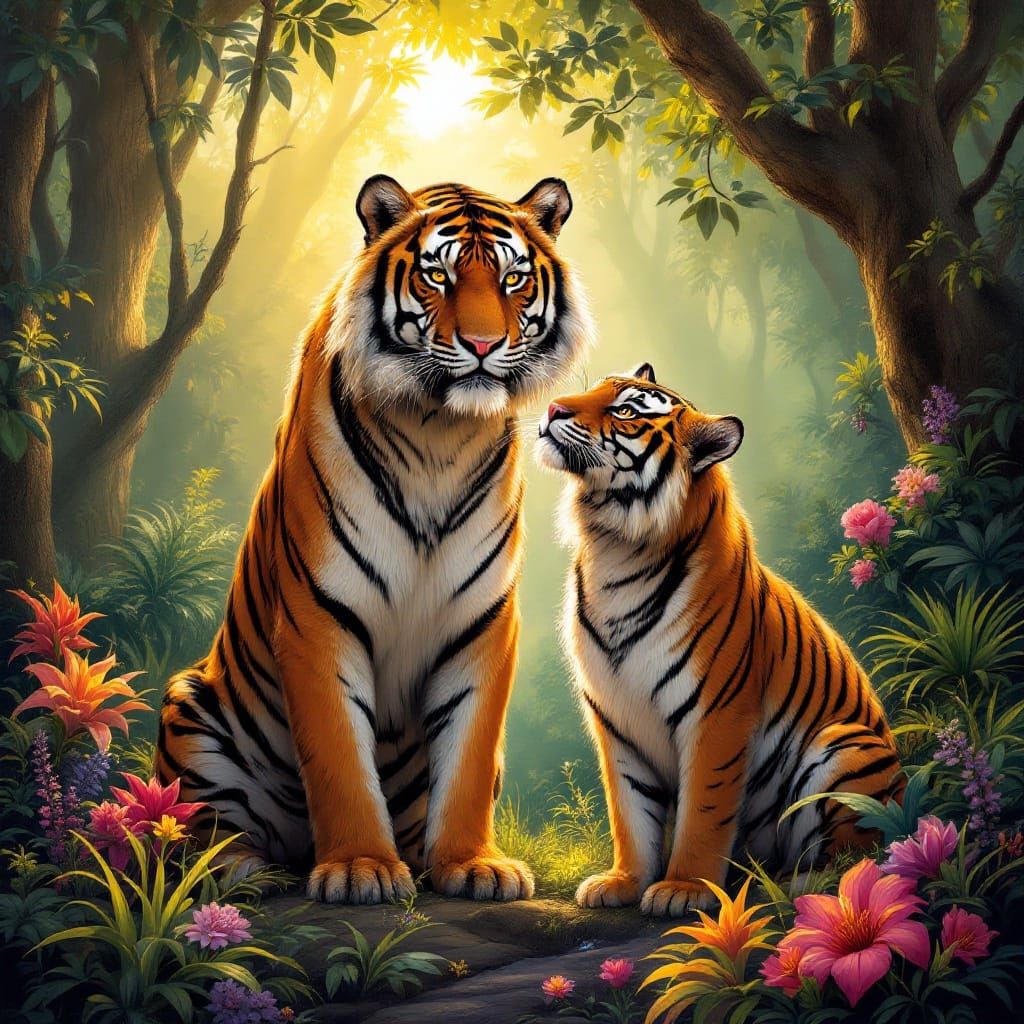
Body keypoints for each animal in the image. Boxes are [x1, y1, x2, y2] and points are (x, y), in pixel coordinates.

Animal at [155, 176, 591, 904]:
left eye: (514, 279)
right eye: (438, 275)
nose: (481, 344)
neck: (440, 434)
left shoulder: (482, 621)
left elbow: (469, 756)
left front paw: (473, 864)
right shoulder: (317, 615)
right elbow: (337, 756)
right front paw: (360, 867)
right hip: (191, 704)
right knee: (201, 828)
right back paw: (238, 868)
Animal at [536, 364, 904, 917]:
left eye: (626, 411)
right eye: (596, 387)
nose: (553, 407)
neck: (614, 547)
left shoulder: (717, 712)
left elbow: (703, 812)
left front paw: (684, 889)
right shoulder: (615, 718)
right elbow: (629, 811)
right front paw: (623, 882)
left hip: (844, 746)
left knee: (861, 853)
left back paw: (802, 882)